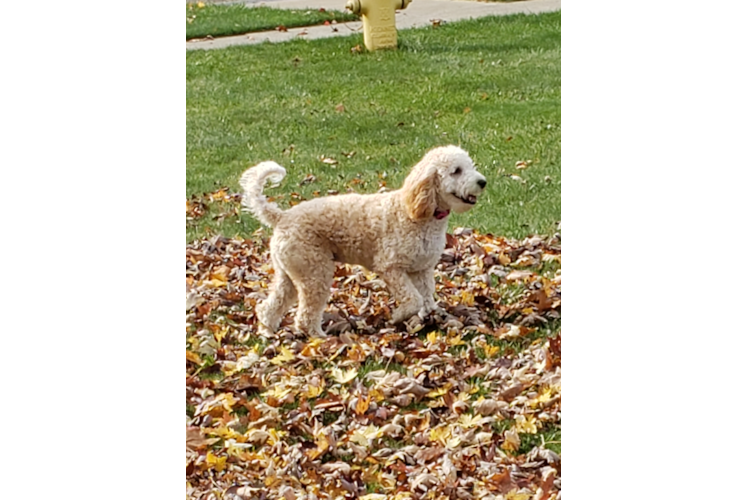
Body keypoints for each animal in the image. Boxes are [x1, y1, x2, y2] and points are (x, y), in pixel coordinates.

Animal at [238, 146, 486, 338]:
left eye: (471, 165)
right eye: (456, 171)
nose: (482, 182)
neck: (418, 213)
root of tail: (282, 217)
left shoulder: (422, 270)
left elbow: (426, 299)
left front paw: (428, 319)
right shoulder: (390, 268)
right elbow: (413, 299)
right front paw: (399, 316)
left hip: (291, 273)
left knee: (270, 306)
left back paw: (267, 331)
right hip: (315, 273)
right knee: (305, 316)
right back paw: (319, 337)